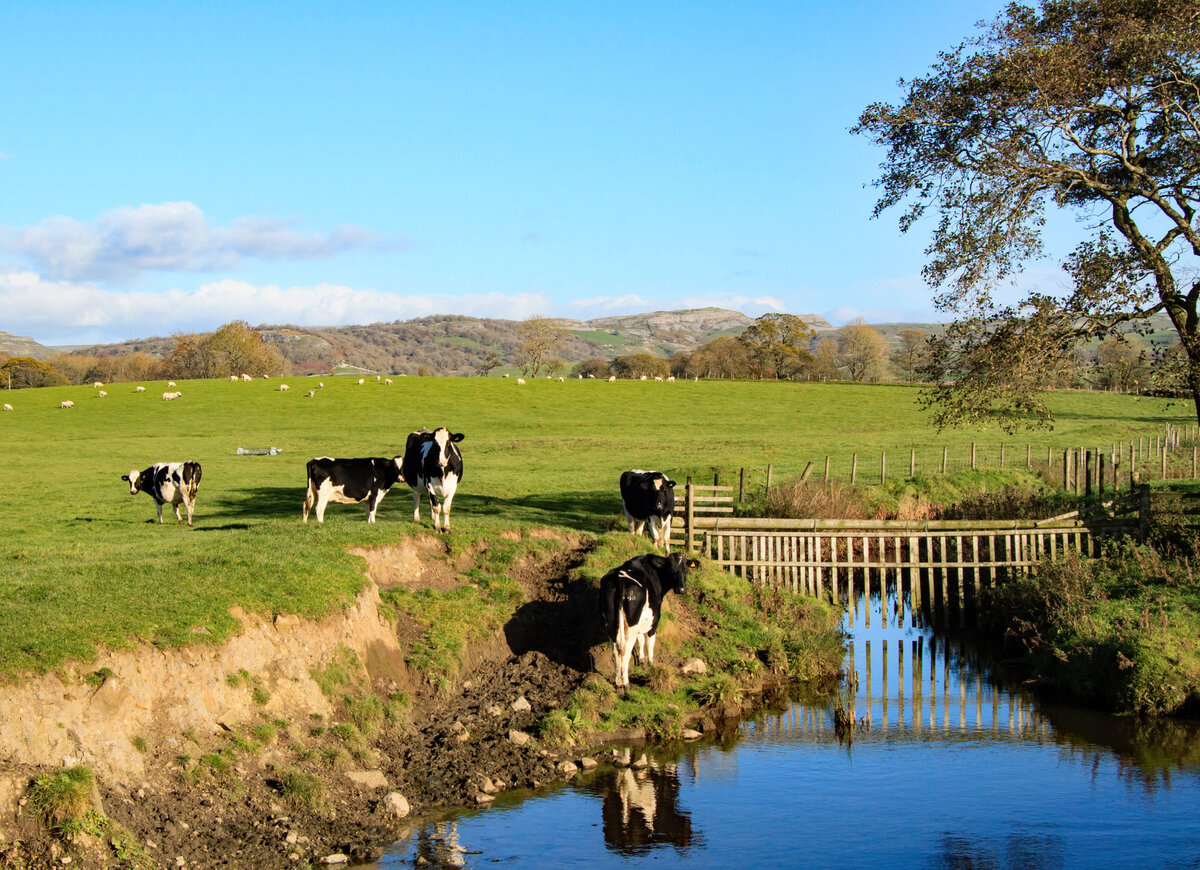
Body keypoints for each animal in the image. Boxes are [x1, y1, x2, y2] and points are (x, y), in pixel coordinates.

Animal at [597, 552, 700, 691]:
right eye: (671, 570)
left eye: (685, 569)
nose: (681, 589)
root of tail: (619, 578)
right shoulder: (655, 618)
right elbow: (650, 641)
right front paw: (651, 663)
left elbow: (640, 639)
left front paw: (642, 660)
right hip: (632, 622)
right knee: (625, 652)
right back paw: (626, 682)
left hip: (611, 621)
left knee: (615, 653)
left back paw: (617, 682)